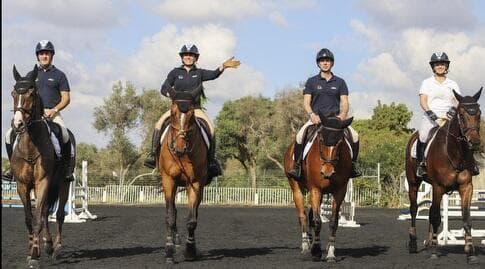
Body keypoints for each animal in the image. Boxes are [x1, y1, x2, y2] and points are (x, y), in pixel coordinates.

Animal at [9, 65, 72, 268]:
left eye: (31, 93)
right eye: (13, 93)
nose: (18, 124)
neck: (31, 144)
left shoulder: (42, 181)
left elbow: (37, 218)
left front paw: (35, 256)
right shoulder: (22, 185)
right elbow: (30, 218)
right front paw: (31, 250)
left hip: (63, 184)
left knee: (58, 215)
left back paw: (56, 249)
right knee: (45, 212)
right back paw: (48, 245)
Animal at [156, 86, 207, 264]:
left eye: (191, 115)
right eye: (172, 113)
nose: (179, 148)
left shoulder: (195, 182)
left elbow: (192, 220)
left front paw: (190, 250)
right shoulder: (168, 180)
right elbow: (171, 216)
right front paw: (169, 251)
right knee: (171, 213)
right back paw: (174, 240)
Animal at [284, 113, 352, 262]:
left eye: (340, 142)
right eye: (321, 140)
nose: (327, 172)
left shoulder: (340, 191)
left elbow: (333, 221)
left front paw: (331, 252)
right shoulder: (315, 189)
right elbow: (316, 220)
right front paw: (315, 251)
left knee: (310, 215)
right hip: (296, 188)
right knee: (303, 216)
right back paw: (305, 245)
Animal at [404, 87, 480, 262]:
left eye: (479, 113)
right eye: (461, 115)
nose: (475, 143)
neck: (455, 152)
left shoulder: (466, 187)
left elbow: (466, 217)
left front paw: (470, 251)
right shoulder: (439, 187)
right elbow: (436, 217)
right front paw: (434, 251)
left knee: (430, 210)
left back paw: (428, 242)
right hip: (413, 183)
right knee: (414, 209)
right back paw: (414, 244)